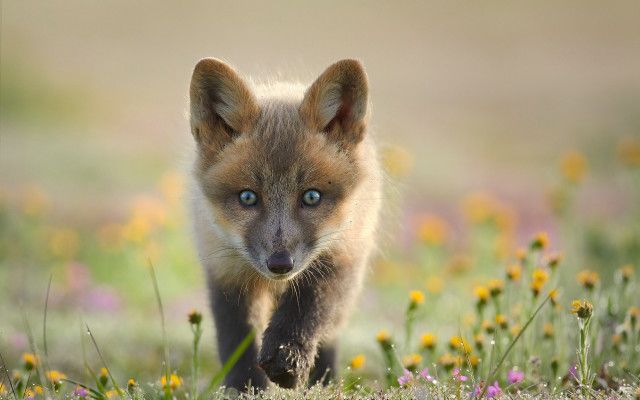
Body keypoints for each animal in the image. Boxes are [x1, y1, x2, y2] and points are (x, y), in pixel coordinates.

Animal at [187, 58, 382, 391]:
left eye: (312, 197)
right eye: (248, 197)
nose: (280, 264)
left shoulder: (341, 256)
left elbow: (308, 310)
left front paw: (287, 359)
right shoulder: (225, 270)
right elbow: (236, 337)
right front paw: (245, 387)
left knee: (330, 332)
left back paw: (324, 383)